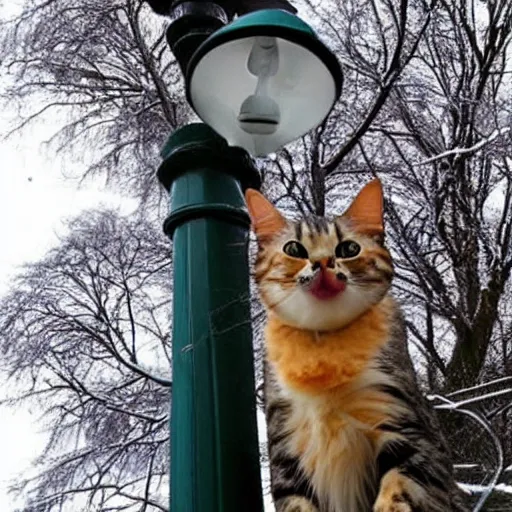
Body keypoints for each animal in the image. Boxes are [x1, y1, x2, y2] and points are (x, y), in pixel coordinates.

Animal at [244, 178, 468, 510]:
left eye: (348, 248)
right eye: (294, 249)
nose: (323, 262)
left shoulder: (407, 427)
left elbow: (400, 488)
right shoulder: (285, 448)